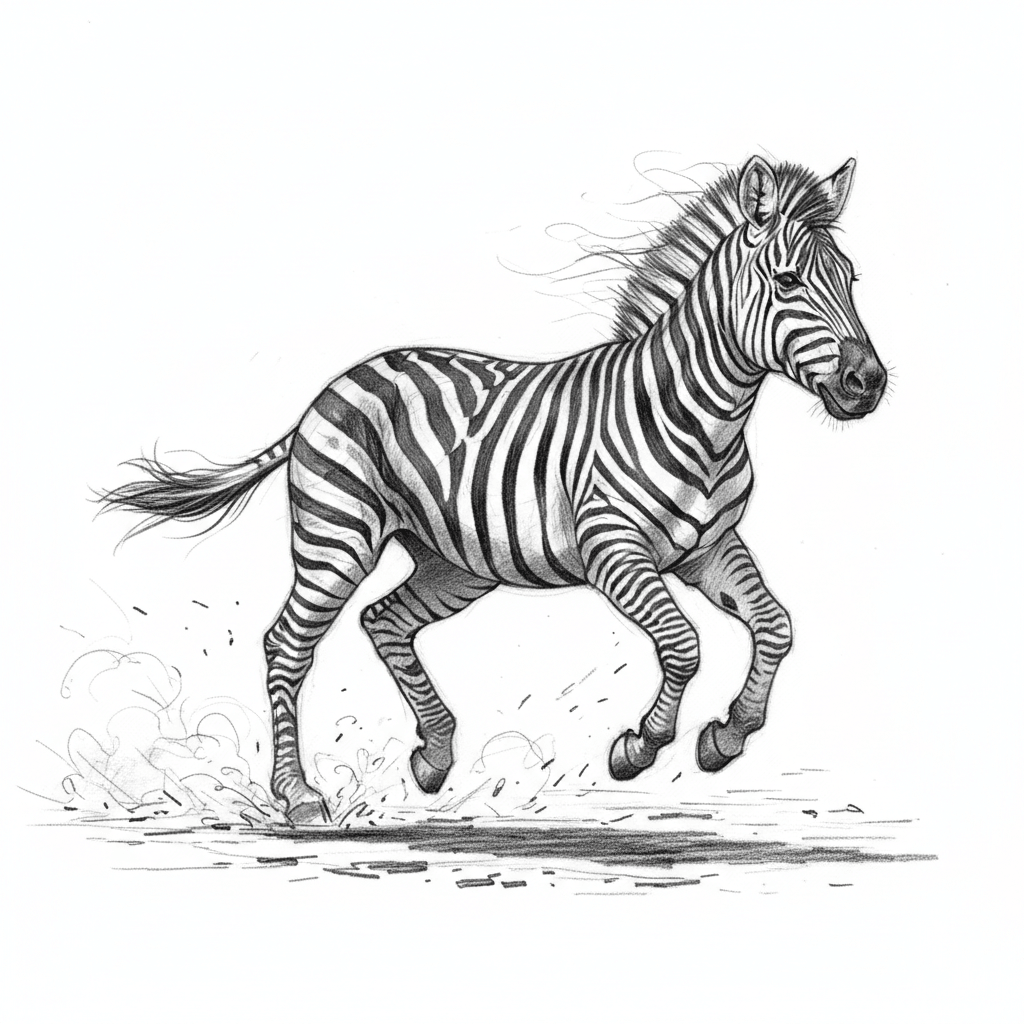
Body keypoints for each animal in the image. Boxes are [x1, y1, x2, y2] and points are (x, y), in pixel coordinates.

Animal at [98, 156, 887, 824]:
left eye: (851, 279)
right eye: (787, 282)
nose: (869, 383)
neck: (698, 416)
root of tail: (333, 387)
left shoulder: (708, 548)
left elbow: (777, 626)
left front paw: (727, 737)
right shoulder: (613, 549)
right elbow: (683, 643)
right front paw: (637, 749)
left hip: (453, 561)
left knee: (384, 620)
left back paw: (435, 755)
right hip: (337, 538)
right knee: (288, 645)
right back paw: (299, 798)